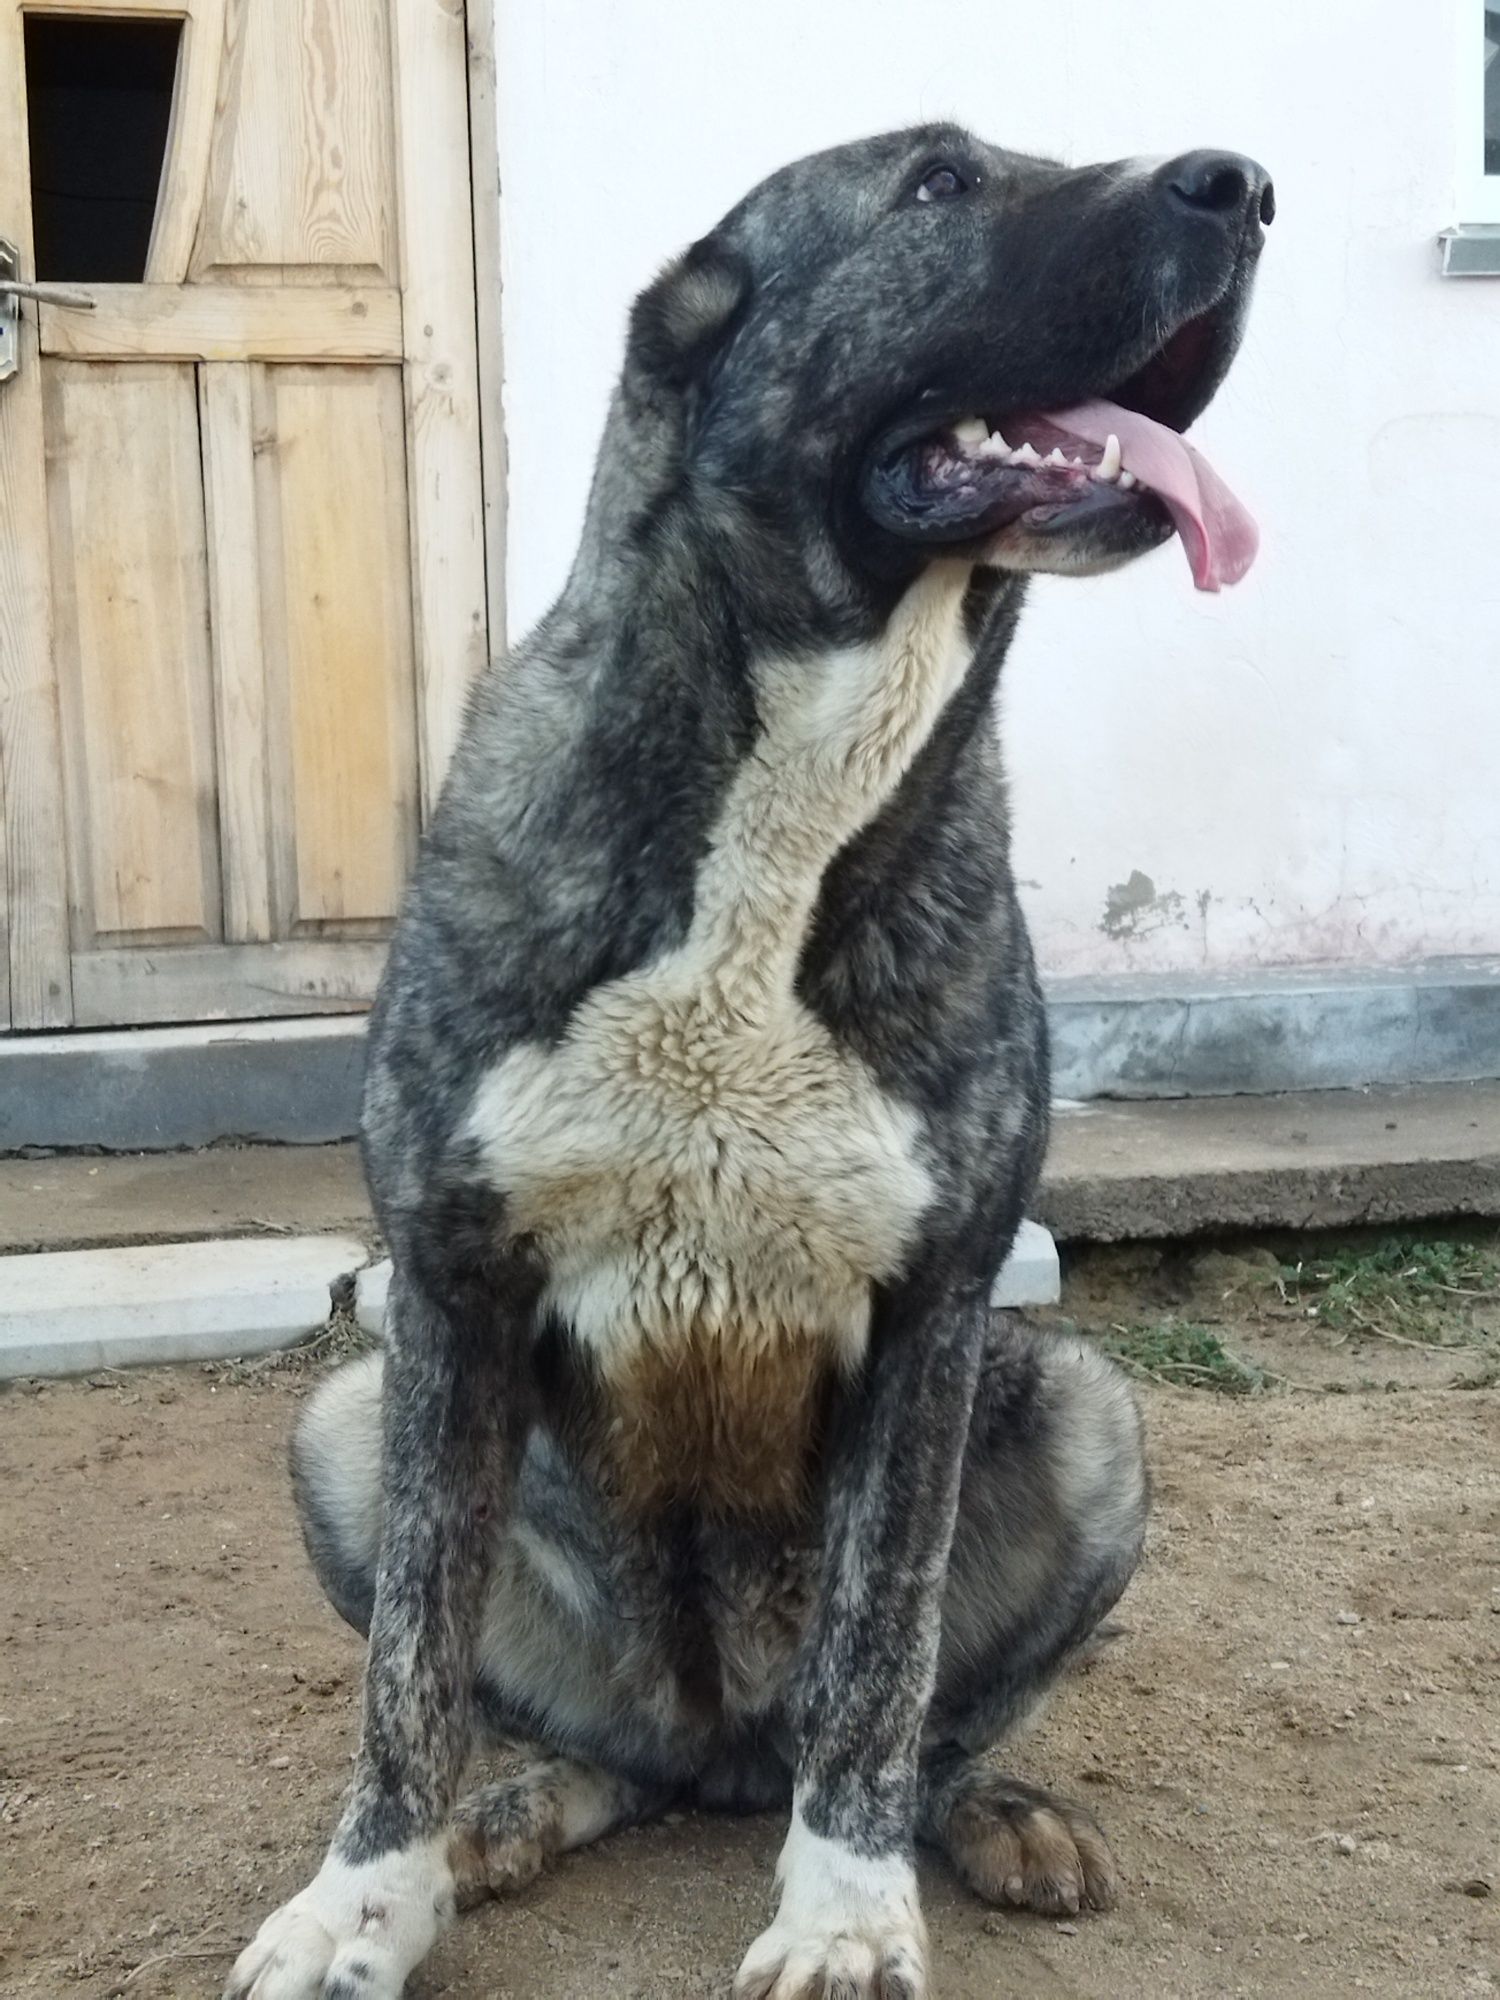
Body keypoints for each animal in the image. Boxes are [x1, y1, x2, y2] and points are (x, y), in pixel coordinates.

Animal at [229, 125, 1272, 2000]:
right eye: (936, 184)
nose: (1244, 186)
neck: (789, 786)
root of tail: (717, 1746)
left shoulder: (932, 1316)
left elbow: (881, 1659)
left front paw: (847, 1917)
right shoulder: (450, 1290)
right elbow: (408, 1672)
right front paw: (361, 1903)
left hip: (1088, 1411)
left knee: (913, 1729)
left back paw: (987, 1815)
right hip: (346, 1425)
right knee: (578, 1745)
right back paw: (508, 1818)